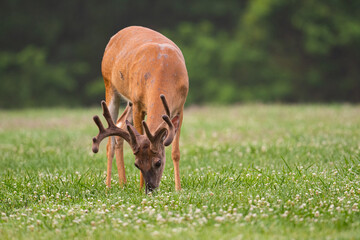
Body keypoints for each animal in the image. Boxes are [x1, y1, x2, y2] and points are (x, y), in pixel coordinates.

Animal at [92, 26, 188, 193]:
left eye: (158, 162)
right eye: (137, 164)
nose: (150, 189)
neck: (164, 71)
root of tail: (115, 35)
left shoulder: (180, 107)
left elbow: (175, 152)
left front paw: (178, 188)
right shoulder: (138, 104)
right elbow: (138, 134)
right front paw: (140, 187)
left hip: (129, 100)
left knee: (120, 124)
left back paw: (123, 183)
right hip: (109, 84)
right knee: (110, 143)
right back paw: (108, 186)